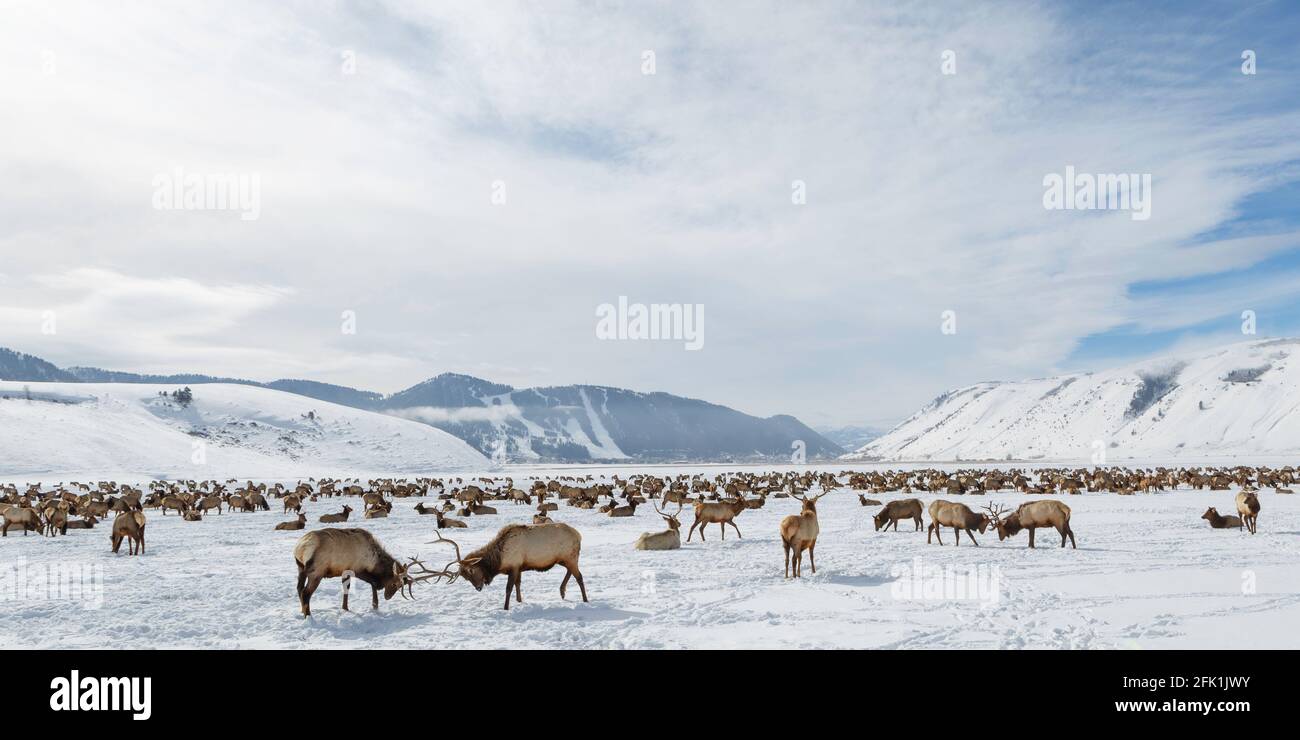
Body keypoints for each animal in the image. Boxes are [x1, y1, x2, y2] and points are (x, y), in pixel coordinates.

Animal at [421, 522, 590, 608]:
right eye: (464, 577)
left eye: (471, 570)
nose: (478, 588)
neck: (499, 559)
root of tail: (579, 535)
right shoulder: (519, 567)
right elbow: (518, 584)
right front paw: (520, 600)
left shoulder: (514, 566)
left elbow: (509, 588)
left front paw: (506, 607)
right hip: (564, 559)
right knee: (571, 572)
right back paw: (562, 591)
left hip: (570, 556)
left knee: (580, 577)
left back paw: (585, 599)